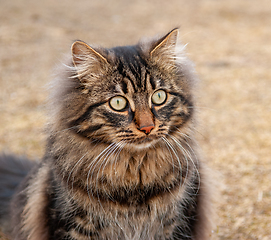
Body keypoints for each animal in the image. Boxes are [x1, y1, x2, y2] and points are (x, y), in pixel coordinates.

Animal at [0, 29, 215, 239]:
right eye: (118, 103)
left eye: (159, 96)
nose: (147, 127)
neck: (134, 174)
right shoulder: (70, 224)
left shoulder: (178, 222)